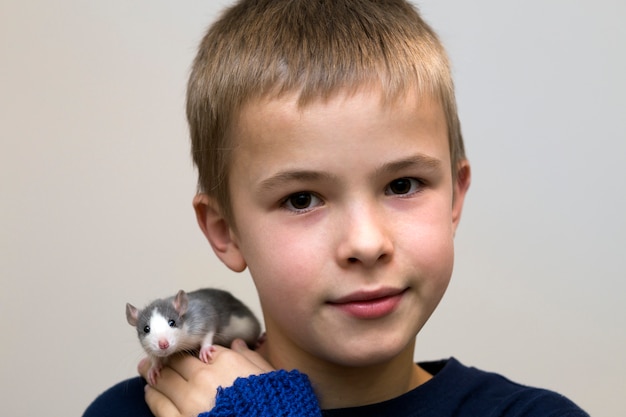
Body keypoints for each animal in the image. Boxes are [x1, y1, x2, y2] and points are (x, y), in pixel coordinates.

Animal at [125, 286, 260, 384]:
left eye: (172, 322)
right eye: (146, 329)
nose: (163, 344)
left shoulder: (202, 317)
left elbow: (209, 330)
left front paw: (205, 349)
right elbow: (154, 356)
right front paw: (154, 367)